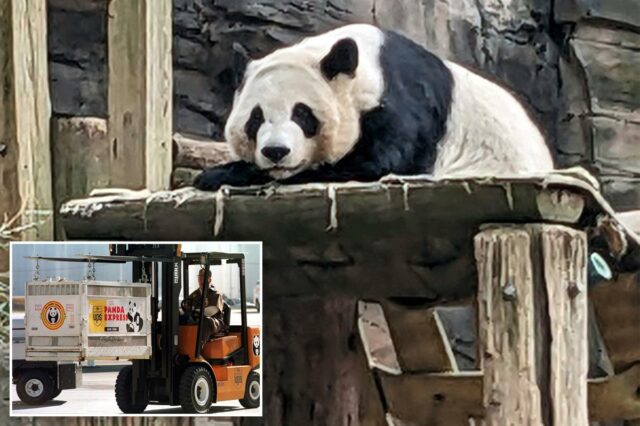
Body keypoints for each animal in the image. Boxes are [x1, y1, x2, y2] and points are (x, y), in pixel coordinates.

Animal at [194, 24, 553, 191]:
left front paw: (220, 173)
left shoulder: (403, 104)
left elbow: (375, 164)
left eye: (302, 114)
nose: (276, 152)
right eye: (255, 118)